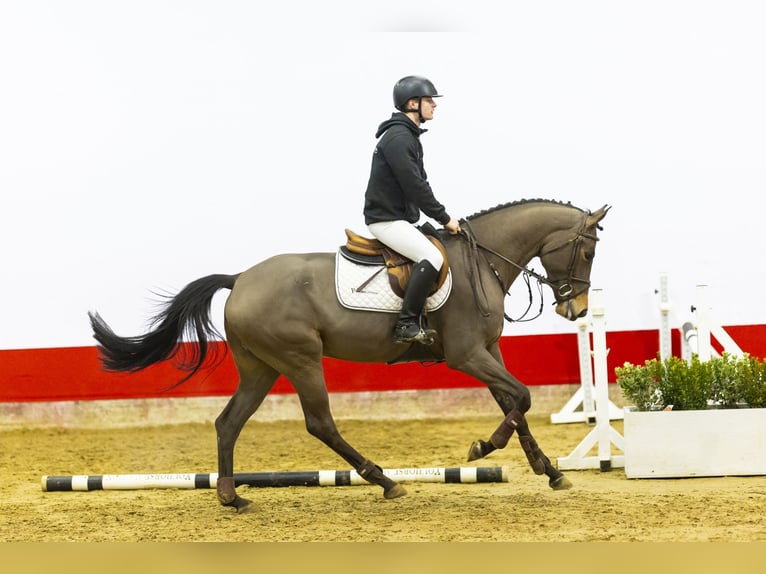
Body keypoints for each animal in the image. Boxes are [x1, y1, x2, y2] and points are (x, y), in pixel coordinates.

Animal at [87, 200, 612, 516]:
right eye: (587, 251)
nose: (577, 311)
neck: (480, 262)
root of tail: (239, 278)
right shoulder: (467, 355)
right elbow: (521, 398)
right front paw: (482, 448)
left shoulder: (489, 351)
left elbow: (515, 404)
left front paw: (550, 472)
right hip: (300, 359)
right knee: (320, 423)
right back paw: (385, 481)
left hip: (261, 368)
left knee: (228, 423)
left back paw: (231, 497)